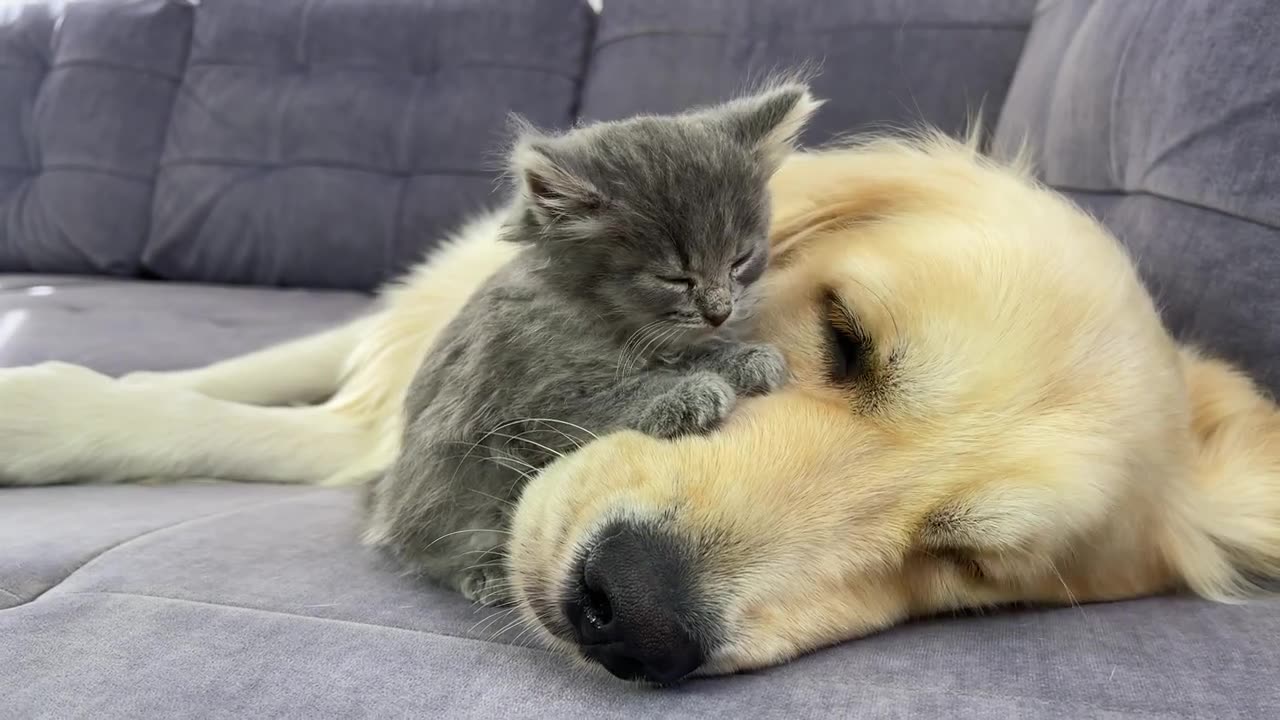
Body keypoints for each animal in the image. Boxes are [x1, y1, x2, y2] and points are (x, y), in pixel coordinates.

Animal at [363, 82, 819, 599]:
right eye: (674, 278)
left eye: (741, 260)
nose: (719, 310)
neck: (610, 321)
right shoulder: (530, 401)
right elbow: (617, 395)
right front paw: (688, 392)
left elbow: (691, 351)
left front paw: (742, 357)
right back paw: (487, 574)